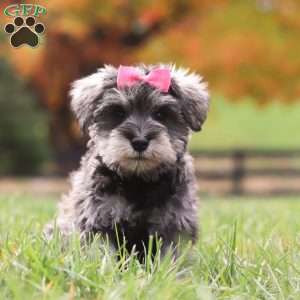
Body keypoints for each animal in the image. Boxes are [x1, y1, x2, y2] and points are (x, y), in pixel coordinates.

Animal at [45, 63, 210, 260]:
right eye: (118, 112)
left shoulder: (175, 225)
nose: (139, 142)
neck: (137, 181)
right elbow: (102, 255)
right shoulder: (99, 222)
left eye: (161, 114)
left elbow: (171, 257)